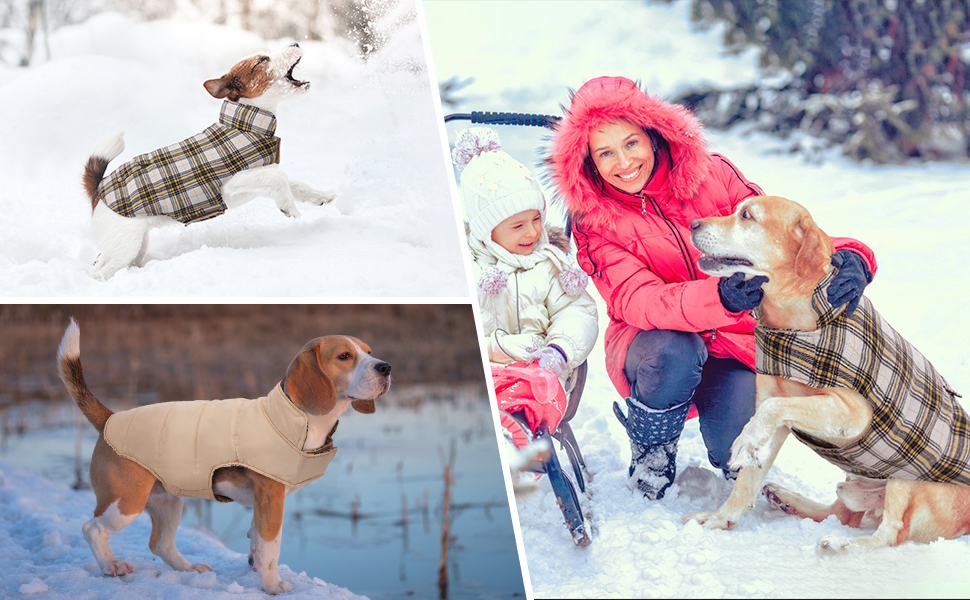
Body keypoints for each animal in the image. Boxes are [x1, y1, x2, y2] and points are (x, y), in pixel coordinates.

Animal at [55, 322, 390, 592]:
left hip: (168, 501)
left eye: (369, 352)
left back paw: (189, 569)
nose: (386, 368)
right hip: (126, 502)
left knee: (160, 543)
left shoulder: (261, 502)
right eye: (344, 356)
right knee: (92, 528)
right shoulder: (272, 496)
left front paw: (257, 569)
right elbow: (271, 547)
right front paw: (273, 585)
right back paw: (110, 565)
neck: (296, 417)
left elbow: (257, 540)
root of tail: (110, 418)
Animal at [81, 43, 336, 282]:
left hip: (135, 245)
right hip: (125, 245)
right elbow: (280, 178)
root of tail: (98, 189)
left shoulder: (261, 174)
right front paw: (289, 207)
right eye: (262, 60)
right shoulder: (232, 183)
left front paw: (321, 196)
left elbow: (294, 183)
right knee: (101, 271)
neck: (245, 125)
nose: (295, 43)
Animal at [680, 196, 968, 552]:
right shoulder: (778, 410)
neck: (796, 323)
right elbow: (746, 480)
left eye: (746, 215)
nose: (693, 224)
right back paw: (786, 499)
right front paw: (720, 519)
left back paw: (842, 545)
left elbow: (768, 411)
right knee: (842, 513)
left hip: (908, 477)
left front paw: (745, 441)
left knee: (889, 533)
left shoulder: (853, 412)